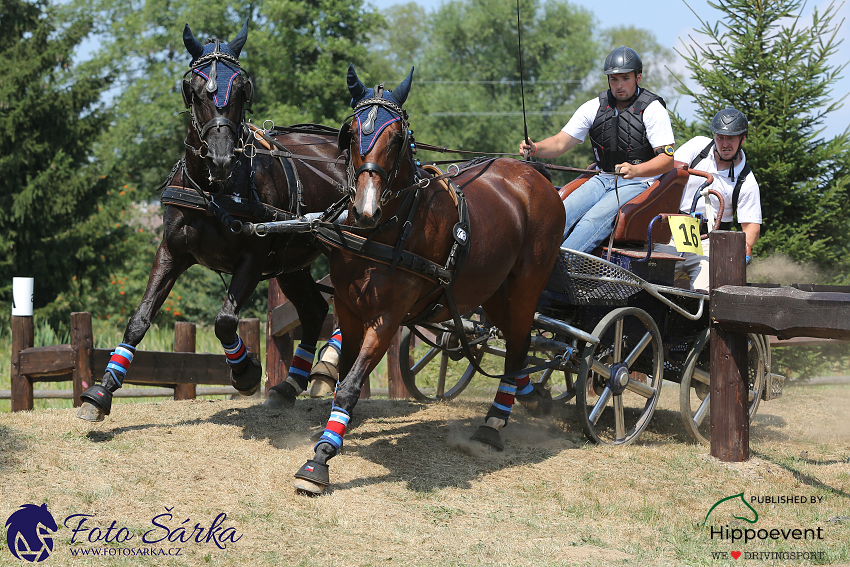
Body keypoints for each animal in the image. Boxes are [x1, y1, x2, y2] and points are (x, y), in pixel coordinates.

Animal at [76, 21, 346, 422]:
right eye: (194, 90)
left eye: (242, 89)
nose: (221, 158)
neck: (213, 189)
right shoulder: (171, 251)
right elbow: (140, 318)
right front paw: (102, 391)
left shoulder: (252, 257)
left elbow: (225, 321)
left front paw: (245, 371)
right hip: (290, 260)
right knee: (315, 310)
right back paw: (289, 385)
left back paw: (325, 371)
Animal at [292, 65, 564, 492]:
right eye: (350, 133)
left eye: (397, 138)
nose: (365, 208)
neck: (382, 232)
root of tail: (533, 174)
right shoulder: (348, 308)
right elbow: (342, 376)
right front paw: (332, 436)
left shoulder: (386, 318)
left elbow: (351, 385)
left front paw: (319, 460)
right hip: (492, 292)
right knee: (514, 346)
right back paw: (527, 396)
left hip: (526, 287)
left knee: (520, 344)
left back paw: (494, 423)